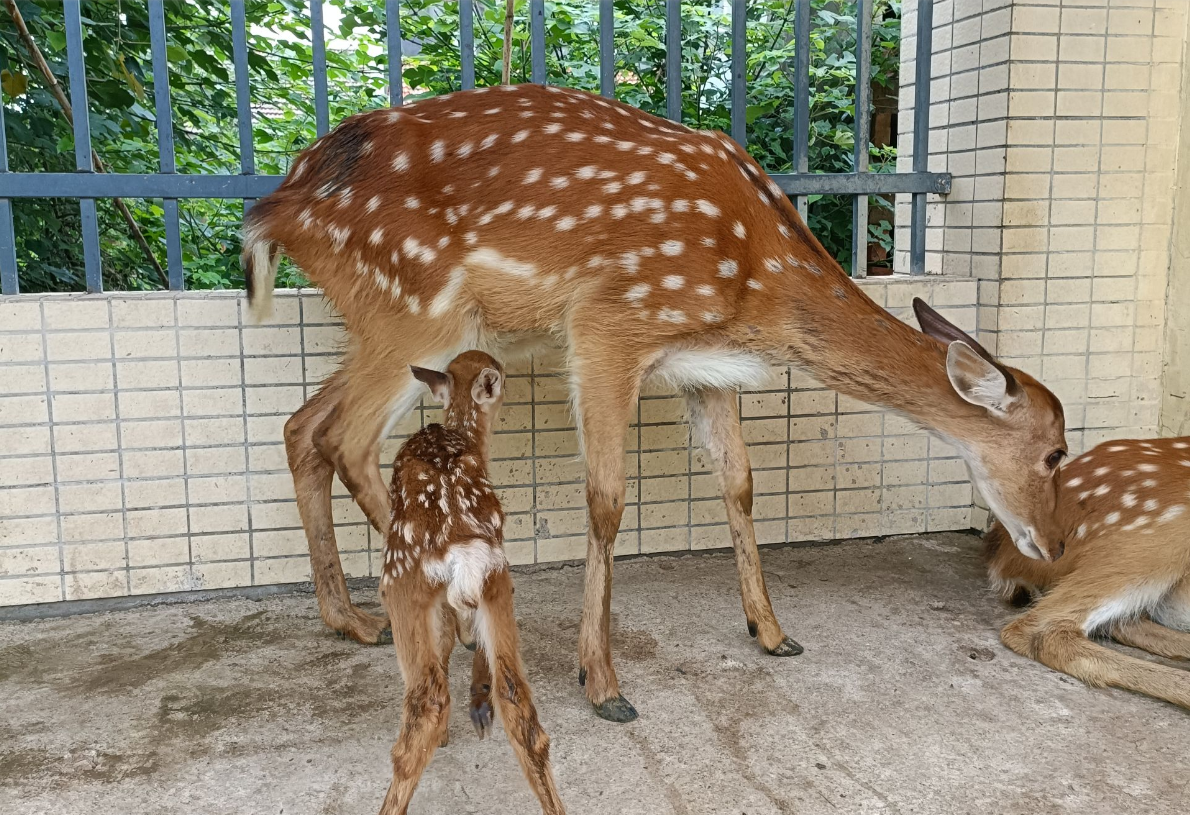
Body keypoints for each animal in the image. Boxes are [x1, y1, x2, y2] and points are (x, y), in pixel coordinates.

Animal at [241, 80, 1071, 718]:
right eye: (1057, 451)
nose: (1056, 548)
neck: (759, 277)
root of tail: (276, 208)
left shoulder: (711, 368)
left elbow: (740, 482)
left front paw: (772, 630)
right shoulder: (608, 323)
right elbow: (607, 497)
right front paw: (602, 680)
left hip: (386, 320)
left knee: (301, 425)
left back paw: (351, 619)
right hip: (418, 307)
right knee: (345, 437)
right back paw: (451, 613)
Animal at [380, 349, 566, 813]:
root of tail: (459, 545)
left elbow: (446, 639)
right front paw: (478, 705)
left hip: (399, 583)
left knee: (424, 705)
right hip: (497, 577)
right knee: (519, 703)